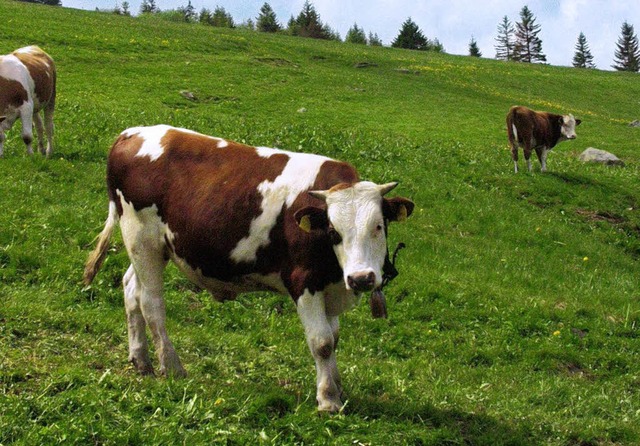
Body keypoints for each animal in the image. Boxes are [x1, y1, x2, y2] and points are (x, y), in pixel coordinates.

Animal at [84, 124, 416, 412]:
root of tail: (132, 133)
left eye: (378, 226)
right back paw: (171, 366)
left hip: (150, 247)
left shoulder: (330, 286)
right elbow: (321, 341)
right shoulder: (304, 282)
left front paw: (337, 387)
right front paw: (328, 399)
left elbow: (333, 338)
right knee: (151, 302)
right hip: (141, 237)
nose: (361, 278)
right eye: (334, 231)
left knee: (131, 288)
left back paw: (140, 359)